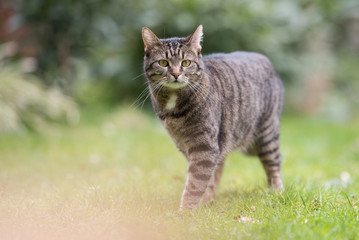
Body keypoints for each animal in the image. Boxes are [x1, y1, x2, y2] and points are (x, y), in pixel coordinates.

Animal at [142, 24, 286, 210]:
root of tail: (265, 60)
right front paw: (203, 204)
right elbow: (205, 179)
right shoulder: (188, 145)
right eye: (163, 63)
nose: (175, 74)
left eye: (186, 63)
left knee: (274, 163)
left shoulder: (204, 146)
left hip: (267, 133)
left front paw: (186, 212)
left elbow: (194, 183)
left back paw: (277, 192)